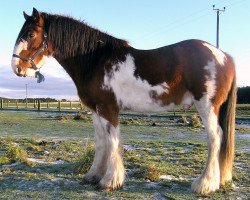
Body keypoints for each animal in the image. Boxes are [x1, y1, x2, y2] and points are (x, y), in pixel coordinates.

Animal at [11, 8, 237, 195]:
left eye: (30, 34)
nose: (16, 68)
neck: (96, 60)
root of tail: (224, 55)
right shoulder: (96, 110)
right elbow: (101, 142)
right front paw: (93, 175)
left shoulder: (109, 109)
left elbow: (112, 142)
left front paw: (110, 181)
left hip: (206, 106)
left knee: (215, 138)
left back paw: (204, 184)